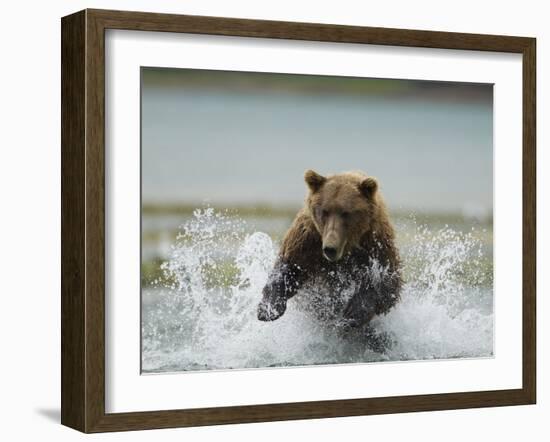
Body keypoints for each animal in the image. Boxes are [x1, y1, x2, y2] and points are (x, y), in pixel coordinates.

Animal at [256, 169, 404, 334]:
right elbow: (290, 268)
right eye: (324, 211)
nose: (330, 249)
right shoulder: (308, 240)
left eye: (346, 213)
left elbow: (387, 285)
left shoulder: (376, 244)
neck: (347, 248)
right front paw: (267, 309)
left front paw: (352, 314)